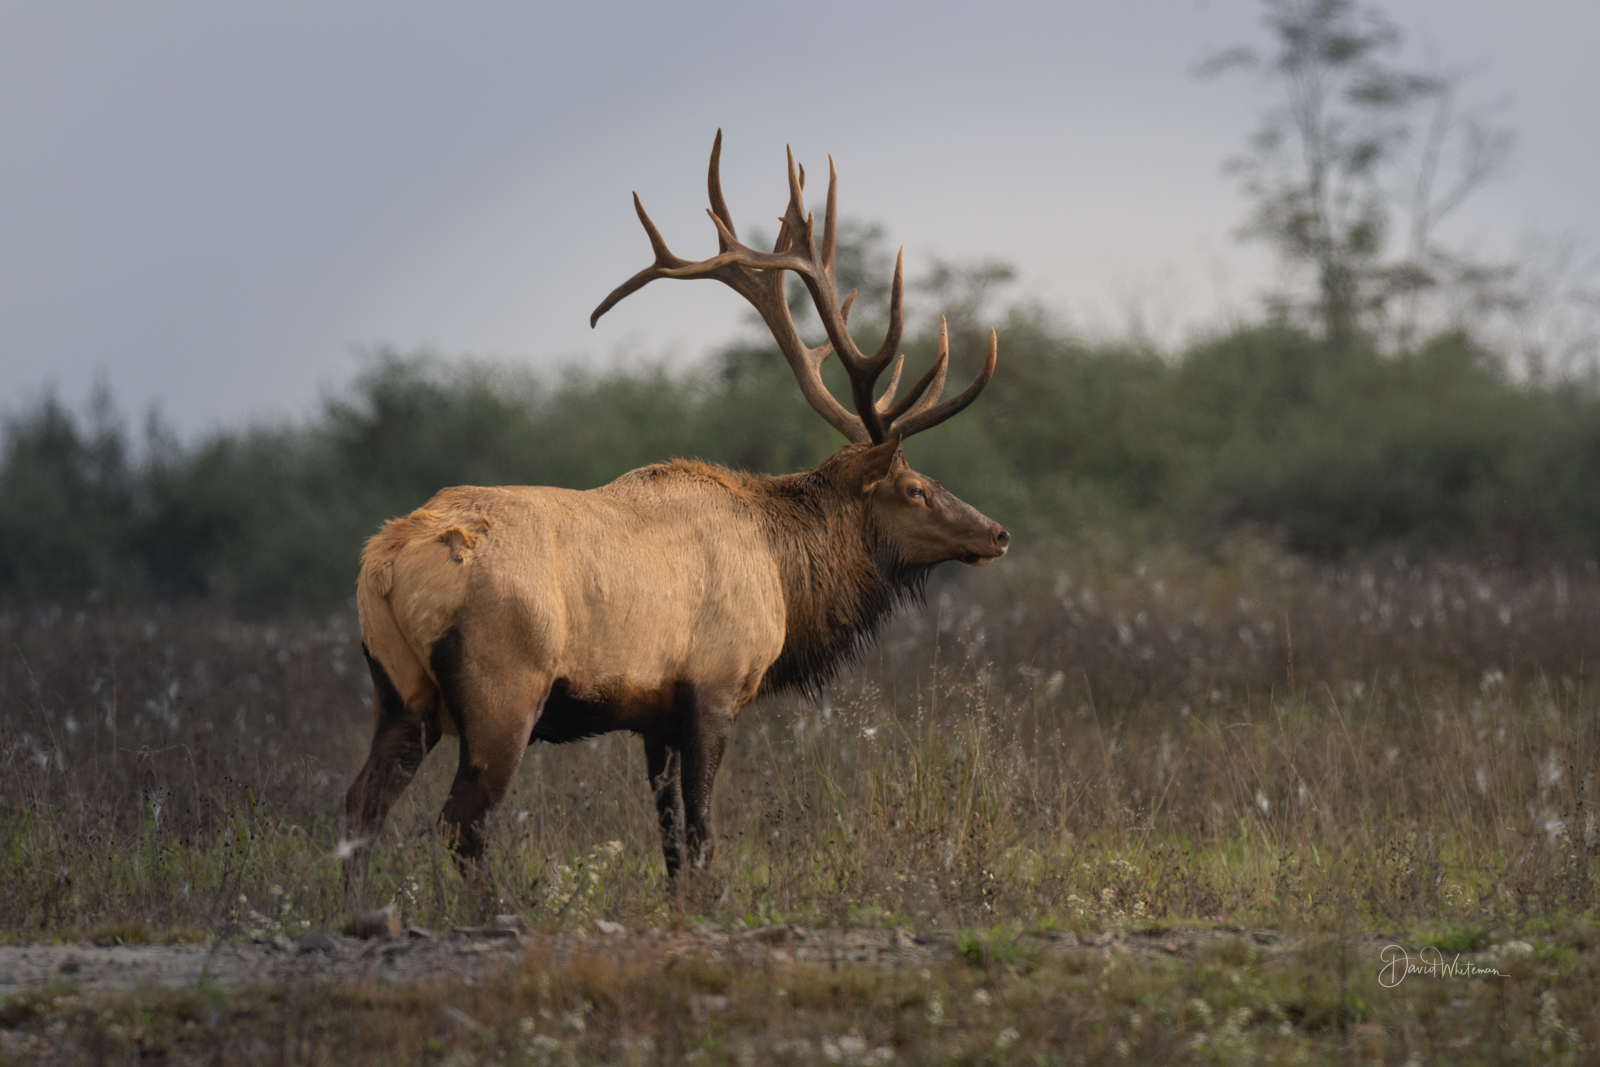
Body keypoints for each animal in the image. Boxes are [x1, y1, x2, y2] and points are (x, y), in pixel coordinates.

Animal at [343, 132, 1009, 897]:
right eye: (914, 487)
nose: (996, 532)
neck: (786, 578)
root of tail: (384, 563)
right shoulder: (713, 687)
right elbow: (702, 833)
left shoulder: (652, 714)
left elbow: (666, 839)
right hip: (500, 688)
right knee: (460, 822)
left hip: (400, 692)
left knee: (360, 806)